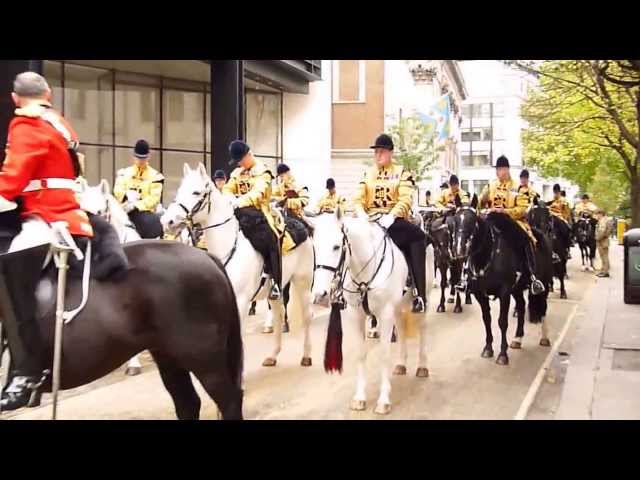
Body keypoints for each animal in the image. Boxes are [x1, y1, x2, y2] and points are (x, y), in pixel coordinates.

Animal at [160, 164, 316, 368]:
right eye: (179, 190)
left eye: (196, 192)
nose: (167, 222)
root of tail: (303, 227)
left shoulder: (240, 301)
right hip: (277, 288)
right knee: (278, 314)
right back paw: (272, 356)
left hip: (303, 282)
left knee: (306, 316)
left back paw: (306, 356)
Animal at [308, 210, 436, 416]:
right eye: (315, 248)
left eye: (336, 246)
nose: (320, 295)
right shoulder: (356, 315)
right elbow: (361, 353)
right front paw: (359, 398)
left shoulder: (385, 314)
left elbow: (384, 354)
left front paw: (383, 400)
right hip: (397, 307)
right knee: (401, 328)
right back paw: (401, 364)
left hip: (425, 298)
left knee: (423, 327)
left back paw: (422, 366)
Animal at [452, 195, 552, 364]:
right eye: (455, 220)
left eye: (473, 221)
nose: (459, 249)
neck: (486, 255)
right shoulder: (480, 294)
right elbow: (487, 319)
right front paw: (488, 348)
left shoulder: (504, 292)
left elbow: (502, 322)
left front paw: (502, 354)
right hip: (517, 289)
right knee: (522, 306)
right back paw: (518, 339)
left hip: (543, 283)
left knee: (543, 307)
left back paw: (544, 337)